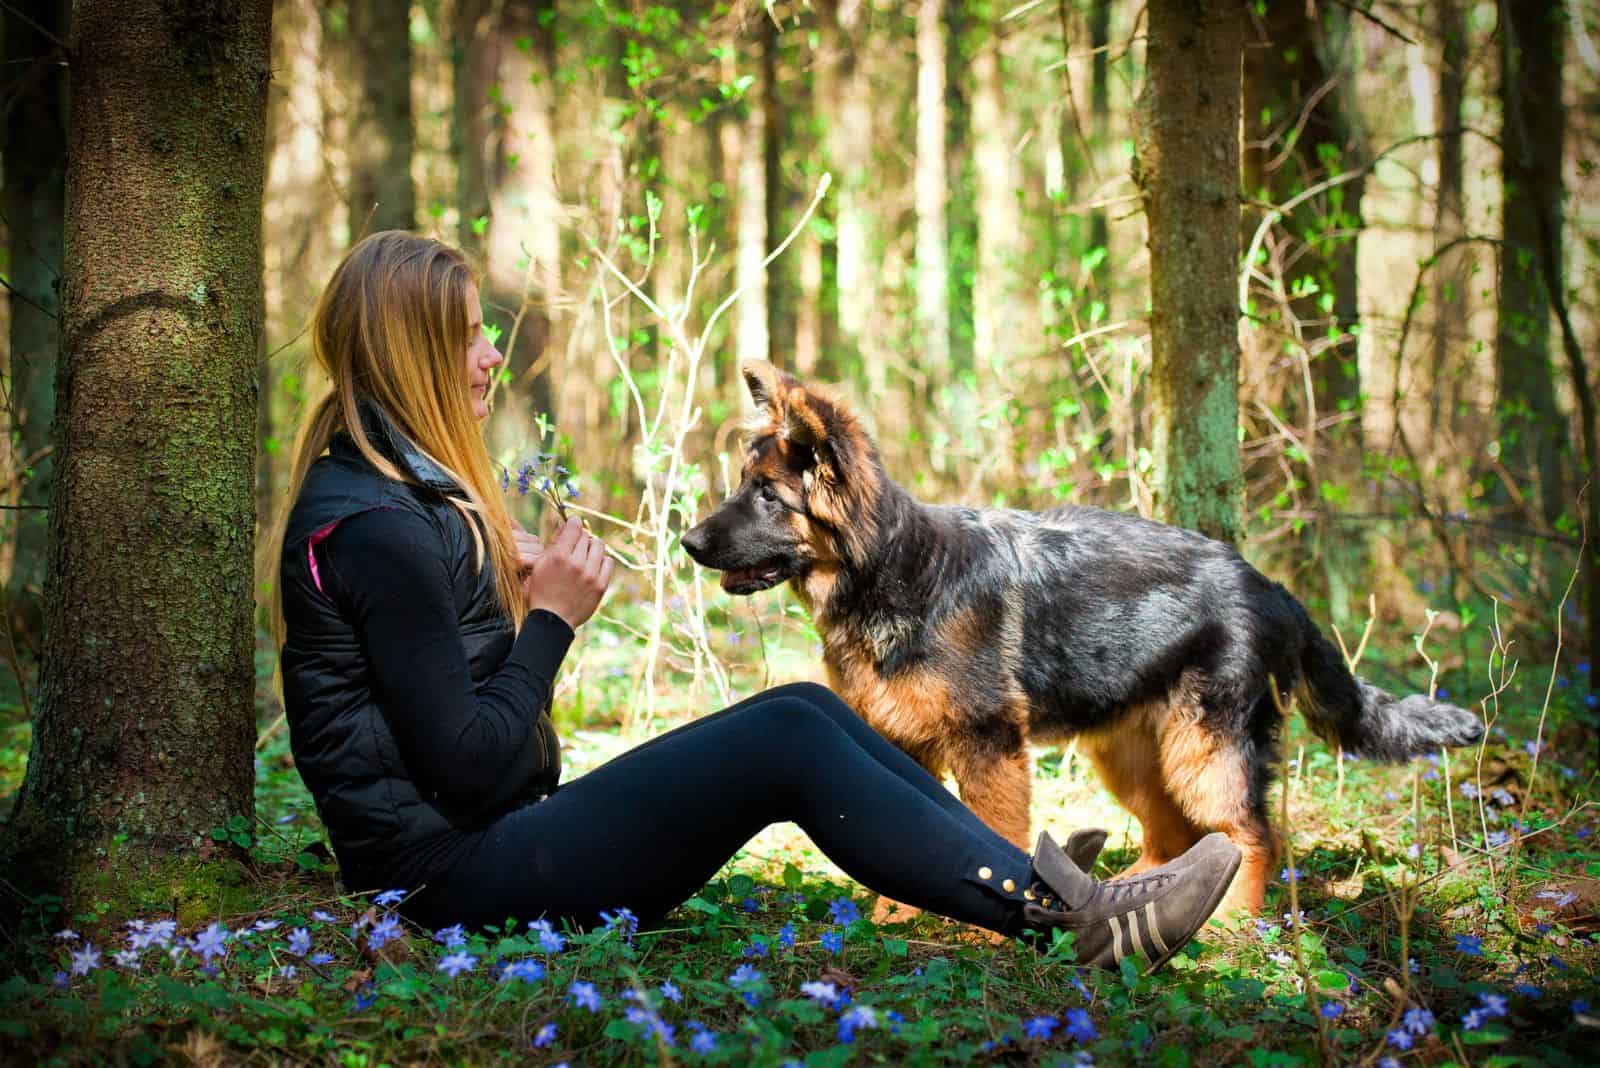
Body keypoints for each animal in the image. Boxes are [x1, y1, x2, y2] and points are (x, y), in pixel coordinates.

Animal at [678, 362, 1484, 914]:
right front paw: (897, 917)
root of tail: (1268, 585)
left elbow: (991, 832)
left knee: (1250, 836)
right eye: (743, 485)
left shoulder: (989, 745)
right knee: (1176, 836)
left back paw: (1233, 927)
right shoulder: (897, 742)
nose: (687, 542)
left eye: (767, 495)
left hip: (1204, 750)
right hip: (1132, 752)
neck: (893, 571)